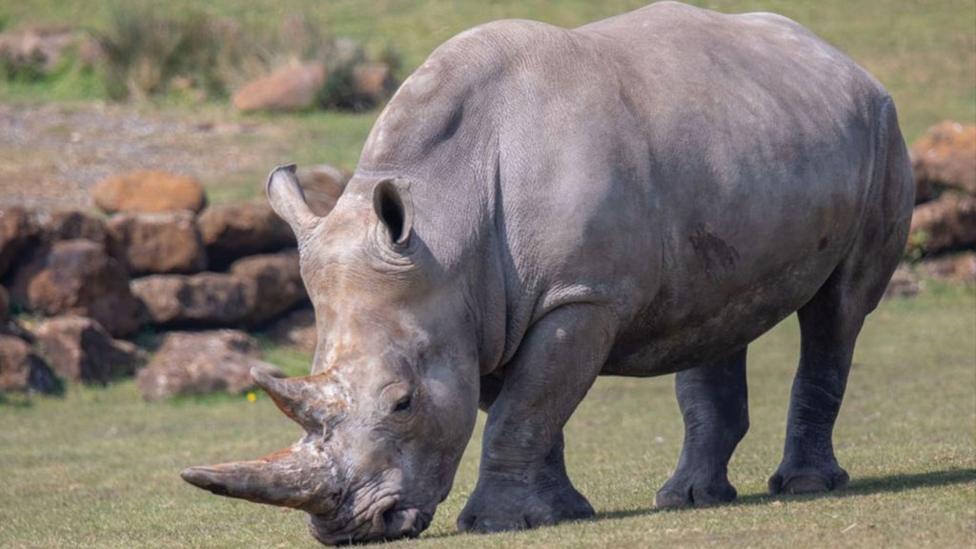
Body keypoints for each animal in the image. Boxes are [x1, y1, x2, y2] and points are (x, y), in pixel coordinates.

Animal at [181, 1, 914, 543]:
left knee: (839, 310)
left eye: (402, 402)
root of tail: (838, 58)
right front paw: (559, 513)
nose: (353, 528)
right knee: (718, 311)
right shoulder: (477, 309)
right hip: (745, 139)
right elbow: (530, 409)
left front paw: (495, 524)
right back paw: (687, 499)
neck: (446, 220)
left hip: (882, 128)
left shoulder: (578, 297)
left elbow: (525, 407)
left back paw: (805, 485)